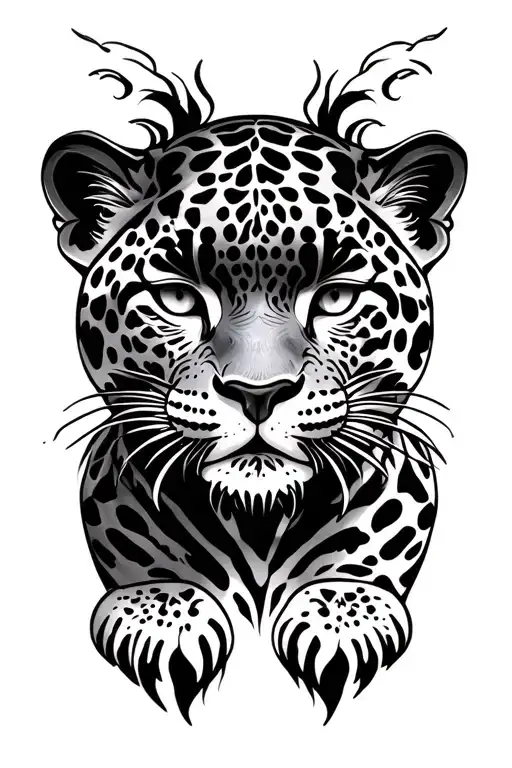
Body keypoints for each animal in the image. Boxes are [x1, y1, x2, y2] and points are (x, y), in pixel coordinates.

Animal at [42, 30, 467, 723]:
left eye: (337, 297)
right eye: (177, 298)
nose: (259, 394)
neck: (257, 526)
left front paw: (343, 617)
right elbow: (150, 571)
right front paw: (162, 619)